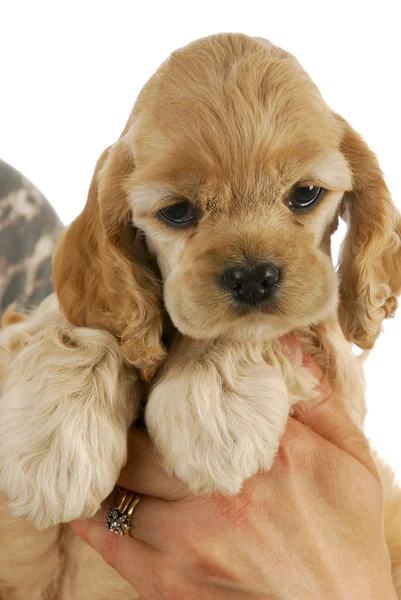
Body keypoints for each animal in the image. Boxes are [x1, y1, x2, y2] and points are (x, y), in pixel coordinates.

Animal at [0, 34, 400, 600]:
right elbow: (86, 324)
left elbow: (253, 331)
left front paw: (213, 412)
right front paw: (51, 453)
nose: (253, 277)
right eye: (177, 211)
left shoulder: (336, 373)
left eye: (305, 194)